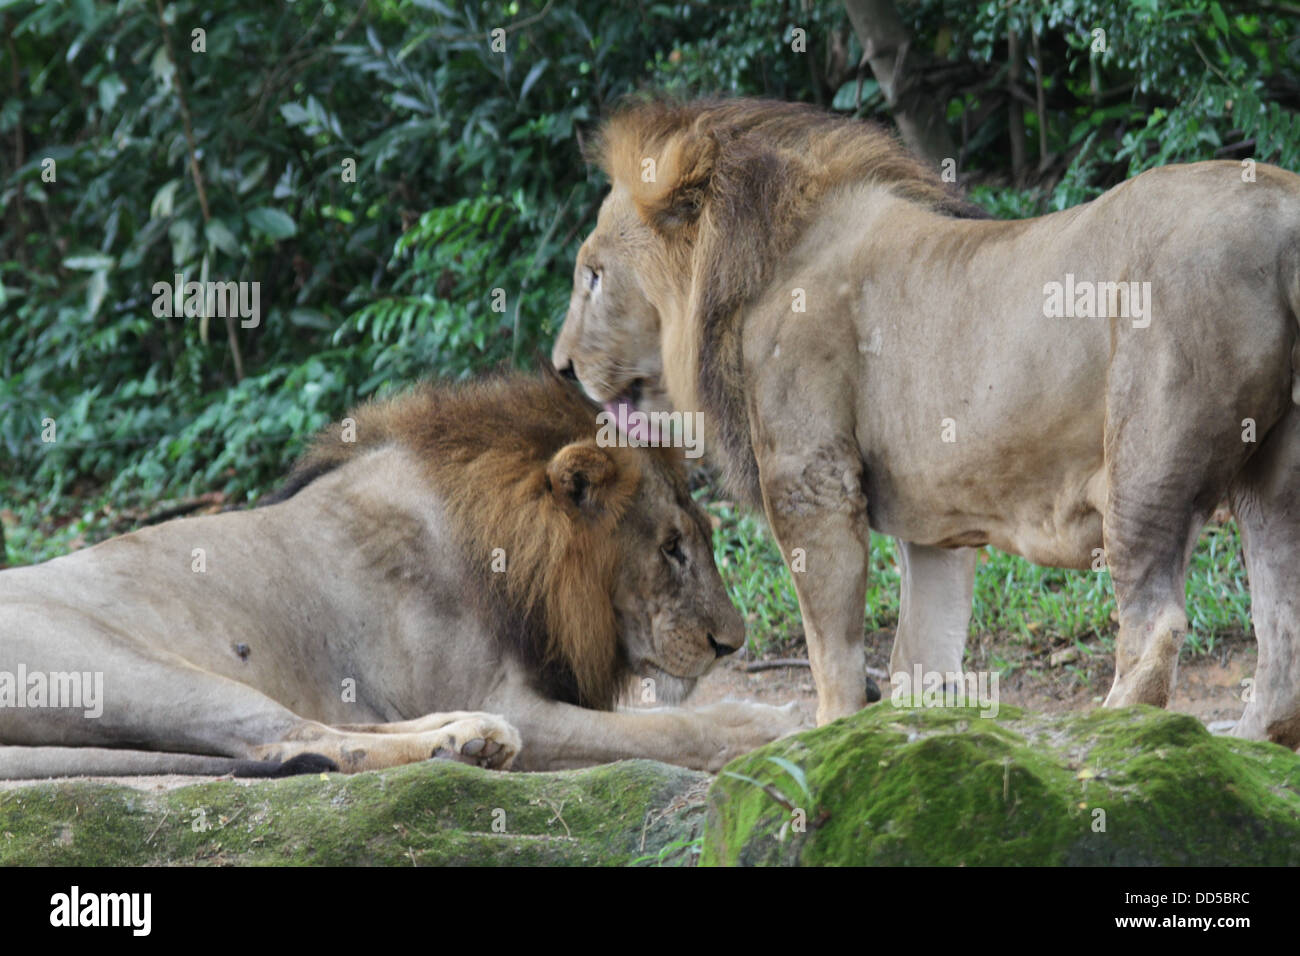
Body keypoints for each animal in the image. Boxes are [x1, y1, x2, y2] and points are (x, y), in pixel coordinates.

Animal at [0, 369, 803, 778]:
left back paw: (474, 736)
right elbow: (663, 729)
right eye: (670, 548)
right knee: (288, 739)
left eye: (700, 539)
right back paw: (465, 744)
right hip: (132, 669)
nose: (732, 644)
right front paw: (760, 722)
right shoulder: (516, 695)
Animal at [553, 96, 1300, 748]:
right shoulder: (937, 527)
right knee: (1281, 626)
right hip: (1270, 482)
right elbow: (922, 654)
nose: (559, 366)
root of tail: (1285, 219)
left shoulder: (811, 483)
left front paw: (832, 739)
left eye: (593, 275)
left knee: (1157, 623)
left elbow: (833, 648)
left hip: (1146, 459)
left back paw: (1109, 735)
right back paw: (1250, 747)